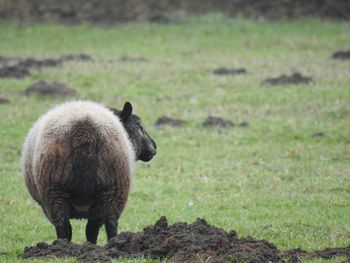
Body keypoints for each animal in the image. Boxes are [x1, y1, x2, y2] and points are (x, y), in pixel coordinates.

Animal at [22, 100, 157, 244]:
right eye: (138, 125)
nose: (154, 146)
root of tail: (84, 130)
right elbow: (90, 230)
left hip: (56, 191)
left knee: (64, 225)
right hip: (110, 188)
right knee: (109, 223)